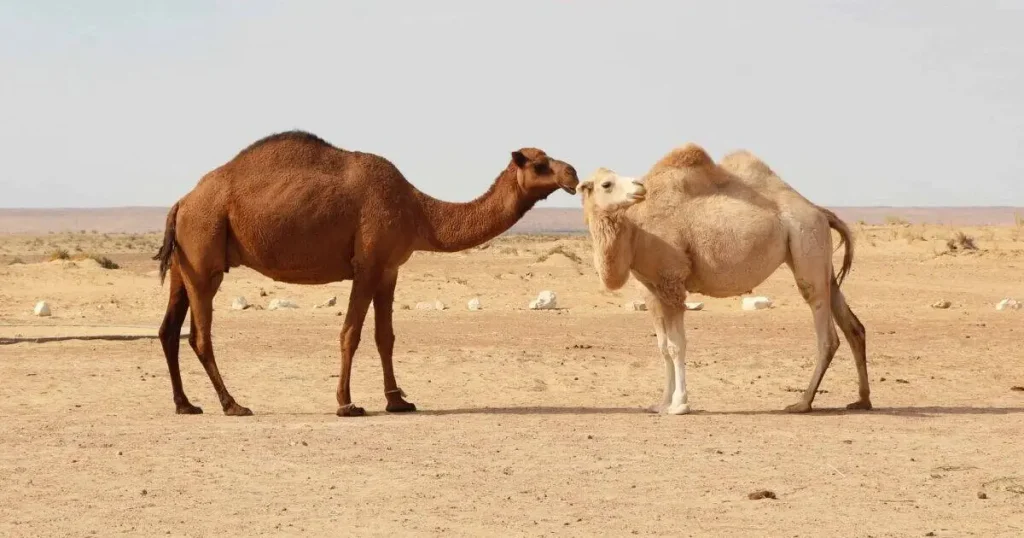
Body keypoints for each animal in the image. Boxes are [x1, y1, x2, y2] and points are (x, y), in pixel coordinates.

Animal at [153, 130, 580, 417]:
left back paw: (185, 405)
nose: (573, 174)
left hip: (183, 264)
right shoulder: (368, 264)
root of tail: (182, 202)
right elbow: (351, 333)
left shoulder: (389, 269)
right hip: (205, 256)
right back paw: (233, 404)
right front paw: (346, 404)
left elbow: (384, 336)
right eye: (539, 164)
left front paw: (398, 400)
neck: (418, 210)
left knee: (169, 330)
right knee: (200, 336)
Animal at [578, 145, 869, 414]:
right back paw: (862, 400)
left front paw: (680, 405)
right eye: (606, 183)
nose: (639, 187)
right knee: (853, 325)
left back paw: (802, 403)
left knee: (826, 331)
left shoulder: (671, 282)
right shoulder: (651, 289)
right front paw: (661, 404)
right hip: (819, 255)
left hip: (805, 238)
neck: (636, 233)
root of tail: (819, 211)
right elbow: (662, 347)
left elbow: (676, 346)